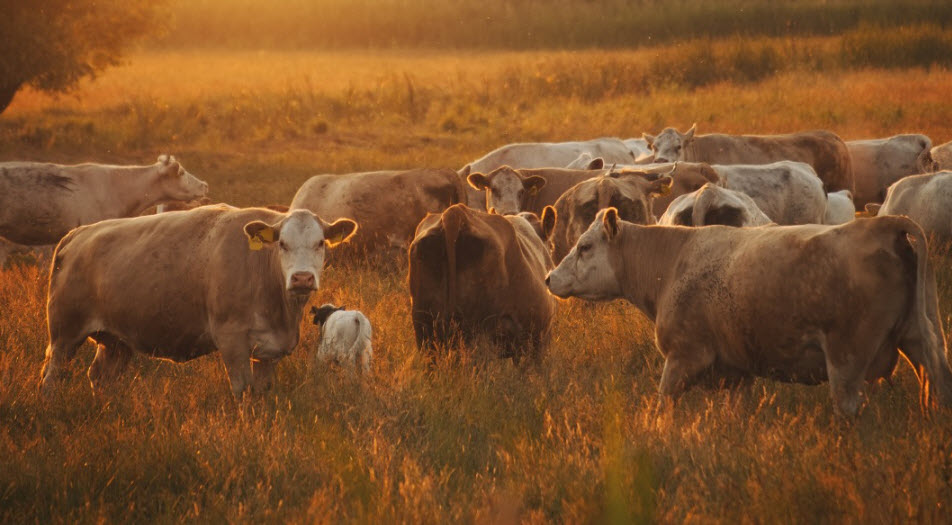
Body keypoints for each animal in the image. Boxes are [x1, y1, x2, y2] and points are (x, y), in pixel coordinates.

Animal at [38, 206, 358, 397]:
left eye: (320, 243)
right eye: (282, 244)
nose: (302, 278)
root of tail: (78, 234)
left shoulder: (269, 351)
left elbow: (262, 393)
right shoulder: (232, 341)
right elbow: (243, 391)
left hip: (116, 342)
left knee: (101, 377)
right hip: (64, 334)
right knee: (51, 376)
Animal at [545, 208, 952, 416]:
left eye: (585, 246)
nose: (550, 277)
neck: (672, 262)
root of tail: (883, 224)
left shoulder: (683, 355)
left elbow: (663, 404)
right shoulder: (736, 371)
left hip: (846, 357)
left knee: (848, 405)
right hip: (919, 336)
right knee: (939, 381)